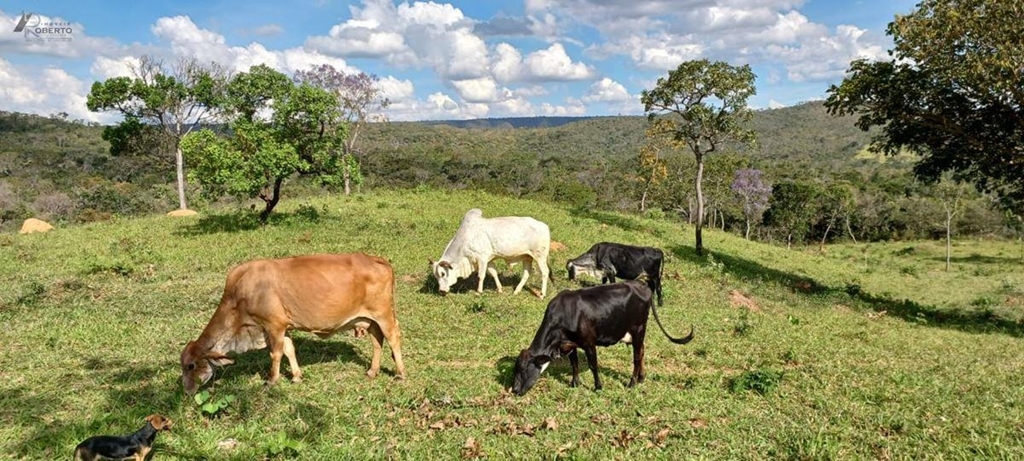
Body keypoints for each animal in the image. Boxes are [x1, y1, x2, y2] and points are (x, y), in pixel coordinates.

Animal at [182, 254, 405, 393]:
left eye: (190, 366)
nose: (186, 390)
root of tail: (376, 259)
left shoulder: (273, 325)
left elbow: (276, 353)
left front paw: (271, 381)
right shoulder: (283, 327)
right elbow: (289, 350)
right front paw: (297, 376)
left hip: (383, 314)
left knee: (393, 338)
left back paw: (400, 373)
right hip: (369, 320)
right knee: (377, 342)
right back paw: (372, 371)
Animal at [512, 280, 696, 395]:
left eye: (523, 369)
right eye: (516, 368)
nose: (514, 390)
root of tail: (641, 284)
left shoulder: (589, 343)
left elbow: (593, 366)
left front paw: (598, 387)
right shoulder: (570, 344)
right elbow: (574, 364)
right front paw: (574, 383)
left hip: (638, 329)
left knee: (637, 357)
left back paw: (632, 383)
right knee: (642, 351)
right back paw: (642, 378)